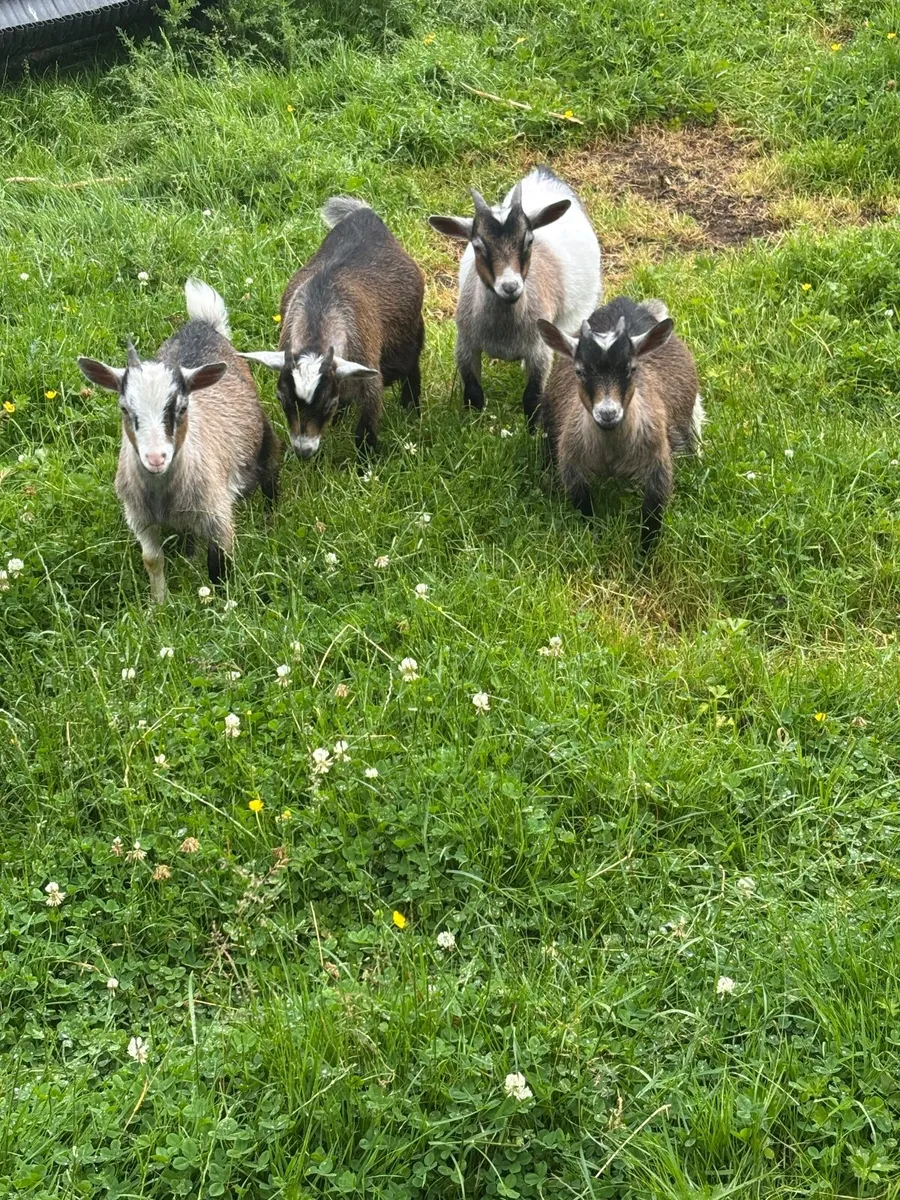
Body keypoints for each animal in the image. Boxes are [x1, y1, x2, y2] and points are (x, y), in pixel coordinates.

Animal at [77, 279, 281, 602]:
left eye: (182, 408)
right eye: (125, 409)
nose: (156, 458)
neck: (163, 496)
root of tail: (202, 324)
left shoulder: (218, 513)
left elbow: (219, 565)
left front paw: (221, 605)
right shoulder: (140, 518)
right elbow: (152, 560)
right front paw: (158, 605)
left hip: (264, 442)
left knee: (271, 479)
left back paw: (269, 524)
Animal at [243, 196, 425, 460]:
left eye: (327, 403)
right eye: (281, 399)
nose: (304, 451)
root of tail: (365, 215)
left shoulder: (370, 377)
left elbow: (366, 425)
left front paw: (365, 460)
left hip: (409, 334)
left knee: (411, 366)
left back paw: (411, 407)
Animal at [429, 165, 601, 427]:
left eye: (528, 241)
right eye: (478, 246)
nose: (510, 286)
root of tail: (542, 175)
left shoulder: (539, 351)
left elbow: (532, 397)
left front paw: (532, 431)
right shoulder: (466, 344)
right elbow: (473, 393)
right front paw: (473, 426)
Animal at [538, 296, 704, 552]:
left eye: (631, 368)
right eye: (580, 371)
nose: (608, 413)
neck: (611, 454)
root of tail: (625, 303)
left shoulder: (658, 467)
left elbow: (651, 520)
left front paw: (643, 558)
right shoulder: (571, 466)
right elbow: (585, 511)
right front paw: (595, 539)